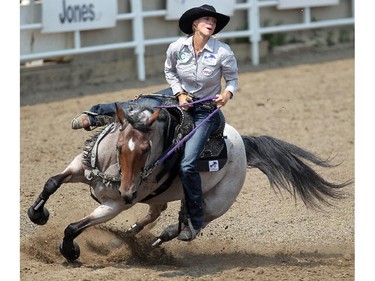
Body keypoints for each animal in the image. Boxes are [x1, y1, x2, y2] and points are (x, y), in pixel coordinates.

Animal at [27, 97, 352, 260]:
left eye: (146, 150)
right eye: (119, 146)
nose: (129, 192)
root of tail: (242, 143)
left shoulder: (113, 205)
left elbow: (74, 226)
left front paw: (70, 250)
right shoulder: (80, 167)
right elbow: (52, 182)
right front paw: (36, 214)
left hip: (215, 204)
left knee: (190, 224)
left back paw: (158, 239)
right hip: (162, 196)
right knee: (158, 213)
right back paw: (133, 234)